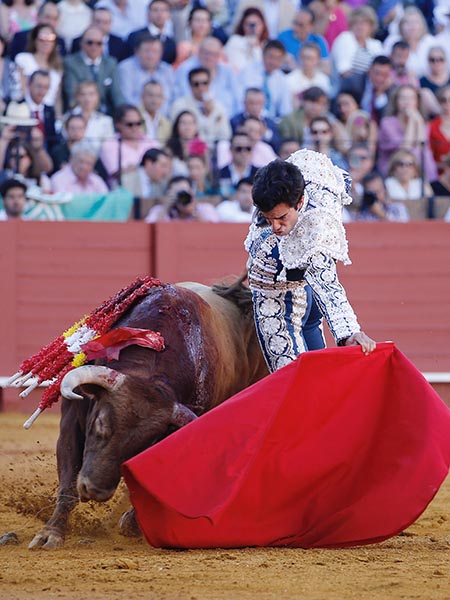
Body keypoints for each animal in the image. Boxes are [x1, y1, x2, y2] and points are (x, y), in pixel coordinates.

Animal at [28, 280, 268, 550]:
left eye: (143, 445)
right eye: (100, 424)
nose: (95, 491)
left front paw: (132, 521)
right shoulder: (71, 422)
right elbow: (68, 482)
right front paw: (51, 533)